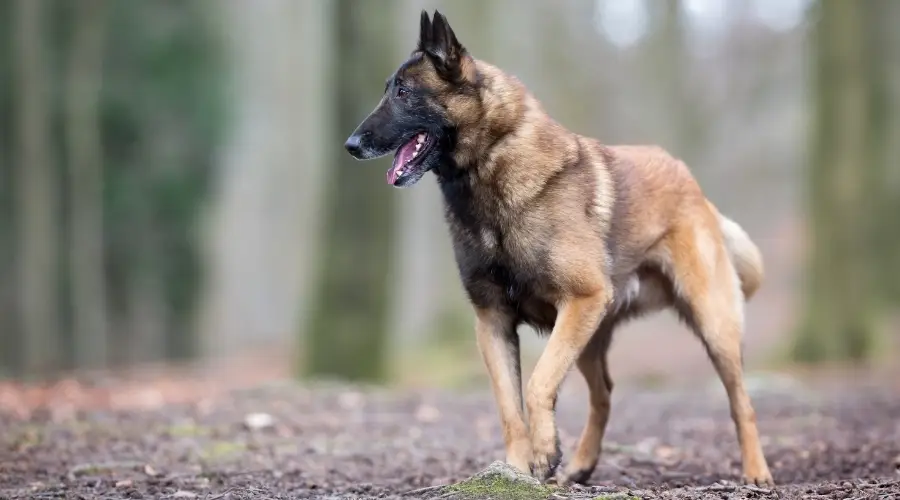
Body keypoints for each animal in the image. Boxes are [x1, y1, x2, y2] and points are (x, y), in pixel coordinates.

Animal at [342, 8, 772, 488]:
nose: (351, 145)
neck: (491, 175)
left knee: (742, 403)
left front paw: (545, 451)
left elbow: (537, 384)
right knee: (604, 395)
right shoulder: (492, 322)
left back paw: (757, 473)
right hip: (589, 336)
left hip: (710, 326)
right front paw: (515, 471)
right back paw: (582, 465)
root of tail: (692, 182)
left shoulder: (578, 301)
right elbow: (509, 407)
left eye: (403, 92)